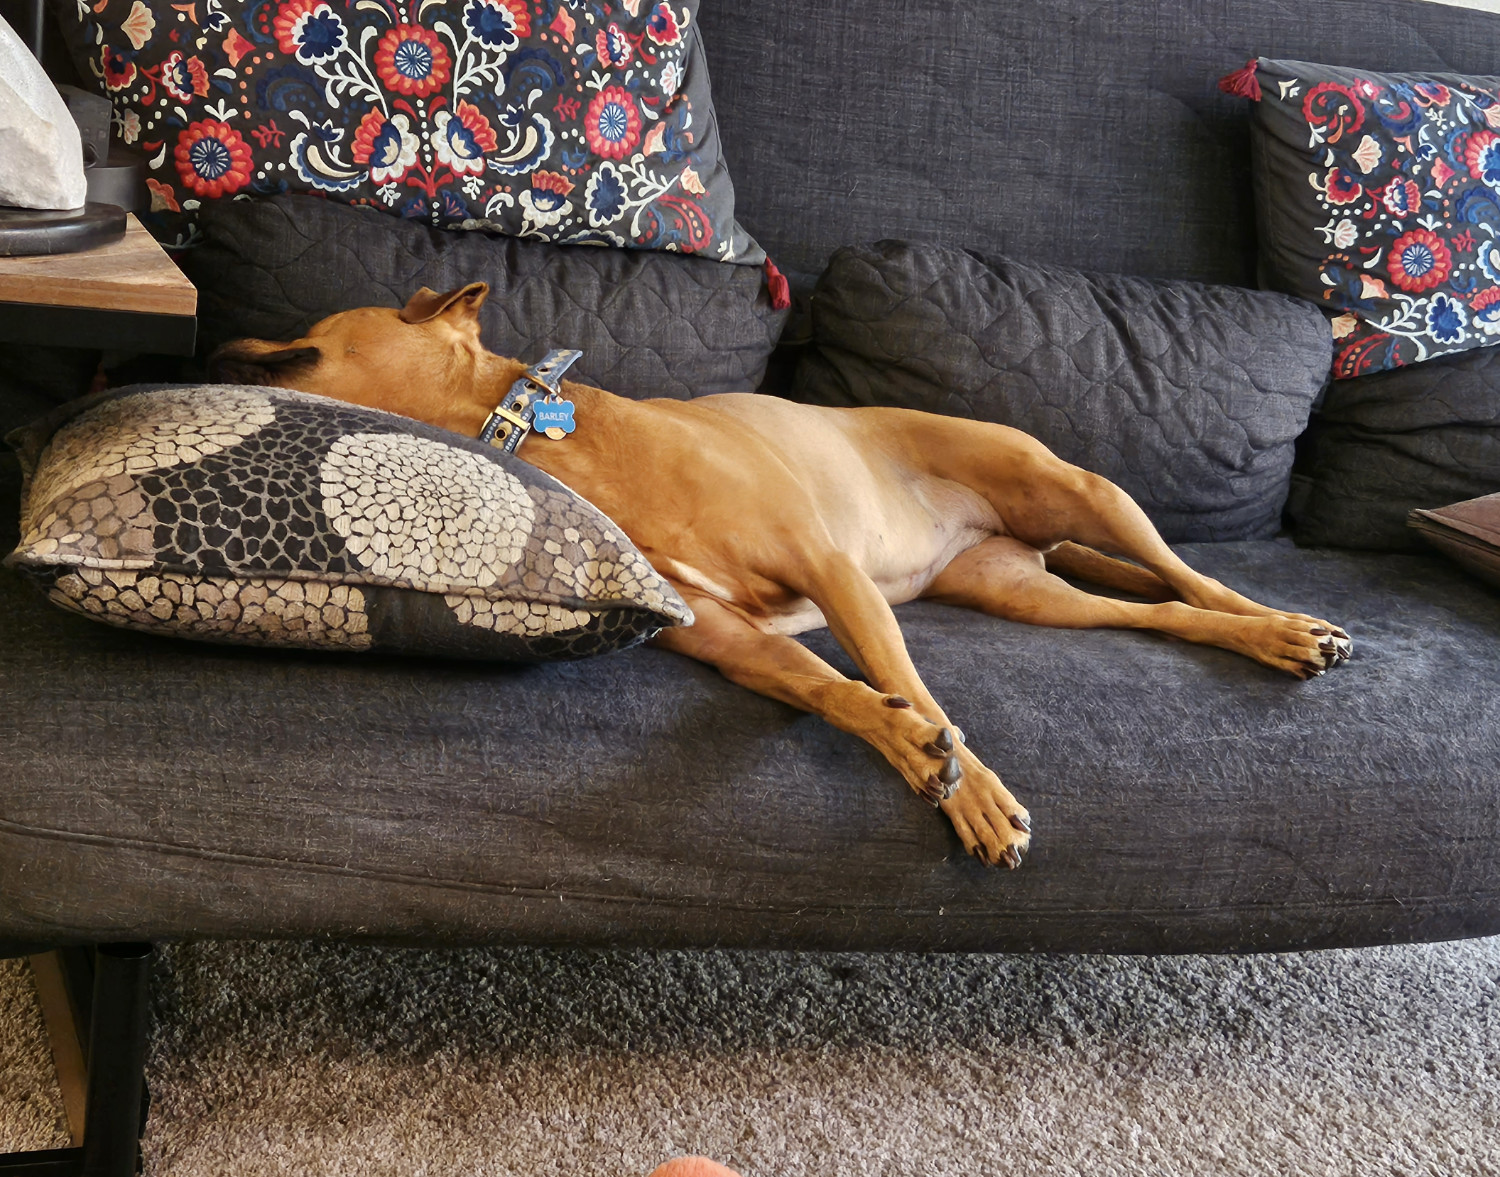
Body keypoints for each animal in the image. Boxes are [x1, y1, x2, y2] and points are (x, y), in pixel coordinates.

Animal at [208, 281, 1350, 869]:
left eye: (310, 335)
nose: (223, 339)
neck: (549, 436)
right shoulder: (732, 640)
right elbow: (838, 691)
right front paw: (909, 746)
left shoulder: (828, 567)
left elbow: (915, 685)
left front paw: (971, 787)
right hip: (1025, 589)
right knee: (1160, 613)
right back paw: (1256, 638)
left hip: (1077, 489)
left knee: (1189, 579)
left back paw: (1286, 622)